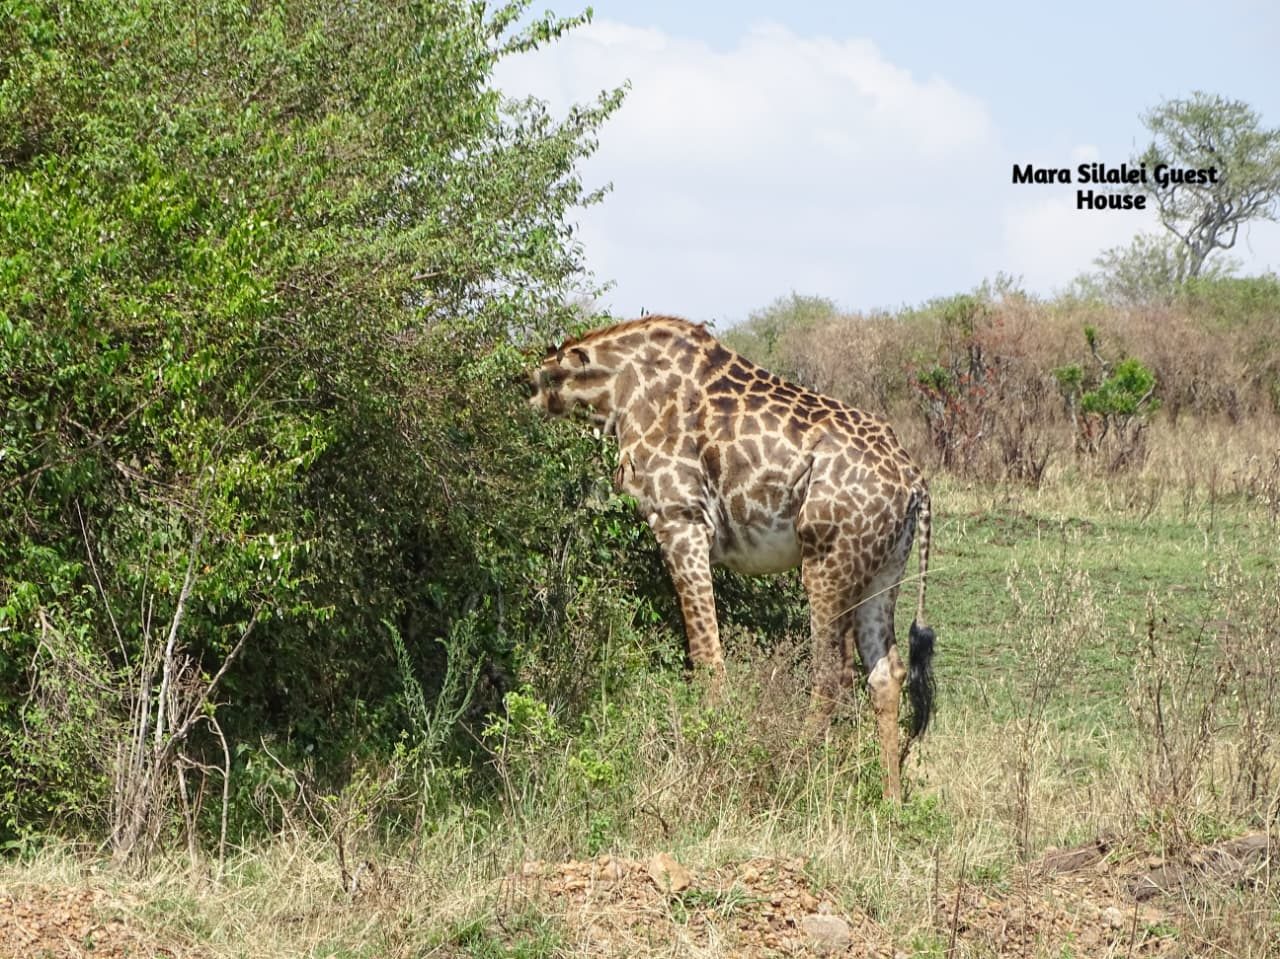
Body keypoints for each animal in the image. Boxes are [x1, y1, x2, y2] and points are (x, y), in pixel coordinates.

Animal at [529, 315, 935, 801]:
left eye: (538, 382)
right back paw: (891, 800)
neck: (619, 390)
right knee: (885, 673)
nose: (526, 395)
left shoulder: (681, 521)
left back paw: (791, 770)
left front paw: (706, 752)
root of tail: (915, 484)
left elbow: (707, 657)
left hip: (826, 560)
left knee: (831, 675)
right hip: (885, 571)